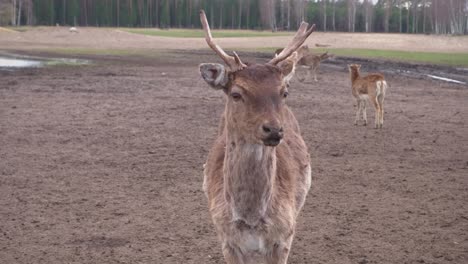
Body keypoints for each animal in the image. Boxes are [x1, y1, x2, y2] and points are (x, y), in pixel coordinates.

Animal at [197, 9, 314, 264]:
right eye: (236, 94)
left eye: (284, 92)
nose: (274, 130)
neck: (250, 220)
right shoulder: (227, 241)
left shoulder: (284, 238)